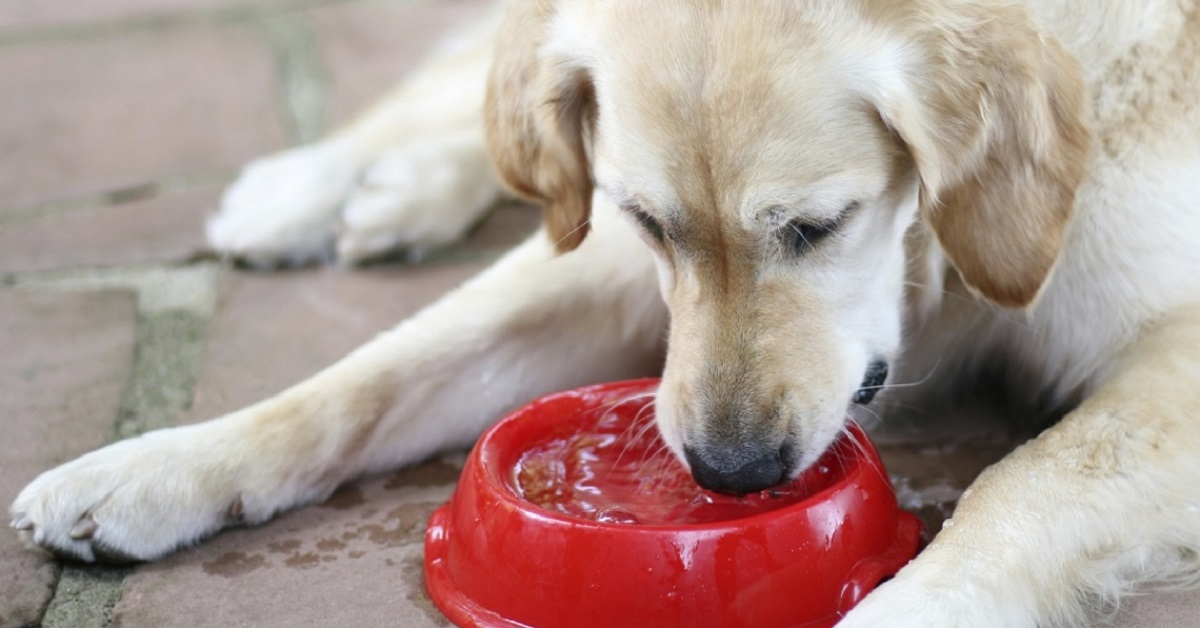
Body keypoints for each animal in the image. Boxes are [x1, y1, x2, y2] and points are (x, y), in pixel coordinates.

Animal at [9, 1, 1200, 628]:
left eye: (818, 226)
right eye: (651, 221)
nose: (728, 472)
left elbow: (1026, 481)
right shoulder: (608, 255)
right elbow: (369, 375)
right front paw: (158, 466)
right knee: (495, 79)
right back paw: (321, 184)